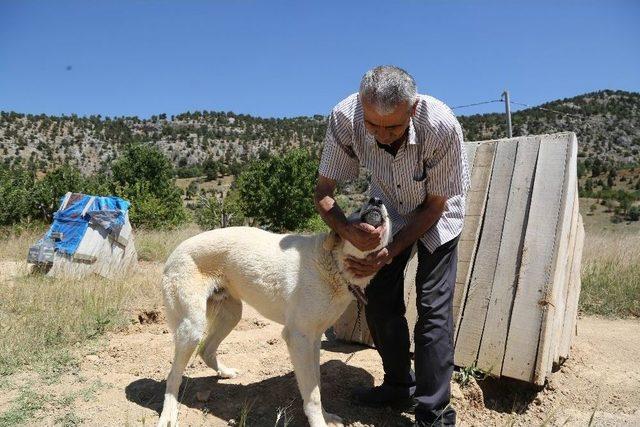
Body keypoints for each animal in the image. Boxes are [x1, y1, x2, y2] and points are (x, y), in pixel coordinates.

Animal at [158, 198, 392, 427]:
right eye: (357, 210)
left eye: (388, 216)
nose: (376, 199)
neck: (333, 264)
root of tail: (174, 252)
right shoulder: (298, 338)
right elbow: (313, 395)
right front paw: (319, 421)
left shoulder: (314, 339)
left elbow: (316, 385)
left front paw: (326, 416)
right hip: (192, 327)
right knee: (173, 376)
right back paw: (168, 415)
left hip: (231, 315)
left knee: (205, 349)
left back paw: (225, 373)